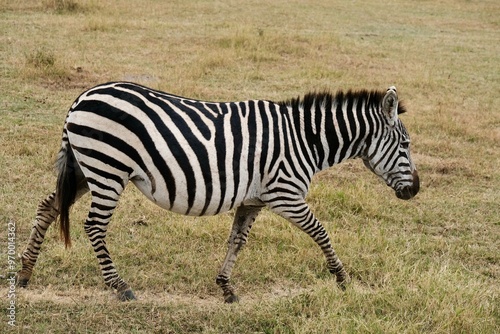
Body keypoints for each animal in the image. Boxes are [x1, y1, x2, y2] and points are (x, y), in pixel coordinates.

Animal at [16, 81, 418, 302]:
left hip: (86, 169)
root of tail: (82, 97)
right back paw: (120, 286)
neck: (304, 140)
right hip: (107, 169)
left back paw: (25, 272)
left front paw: (225, 287)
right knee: (94, 226)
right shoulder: (285, 194)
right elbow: (321, 232)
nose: (415, 190)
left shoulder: (253, 200)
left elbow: (237, 240)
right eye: (406, 144)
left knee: (48, 207)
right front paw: (341, 278)